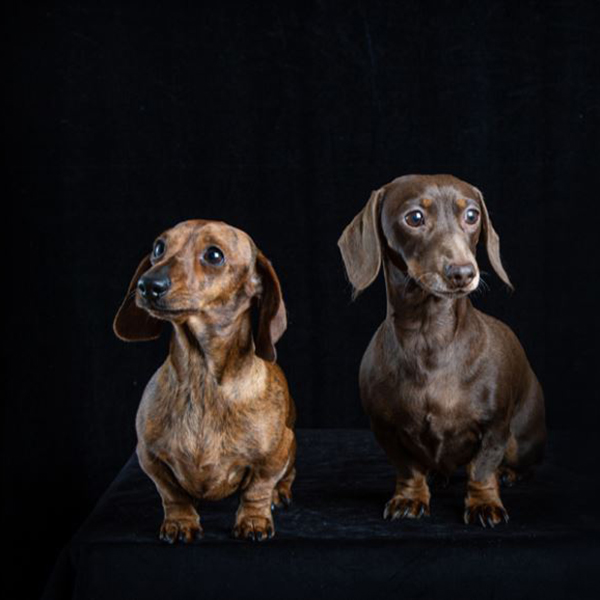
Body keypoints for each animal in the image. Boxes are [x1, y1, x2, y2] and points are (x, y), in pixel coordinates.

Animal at [114, 219, 296, 542]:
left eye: (214, 255)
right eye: (158, 247)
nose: (148, 285)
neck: (202, 381)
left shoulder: (277, 452)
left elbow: (258, 488)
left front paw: (253, 520)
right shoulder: (148, 455)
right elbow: (171, 493)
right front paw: (180, 521)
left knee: (286, 477)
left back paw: (280, 493)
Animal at [338, 174, 546, 527]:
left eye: (472, 215)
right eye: (415, 218)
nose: (463, 273)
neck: (429, 337)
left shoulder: (495, 428)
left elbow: (482, 469)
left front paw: (484, 503)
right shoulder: (385, 429)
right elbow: (408, 469)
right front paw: (410, 498)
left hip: (521, 440)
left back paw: (508, 474)